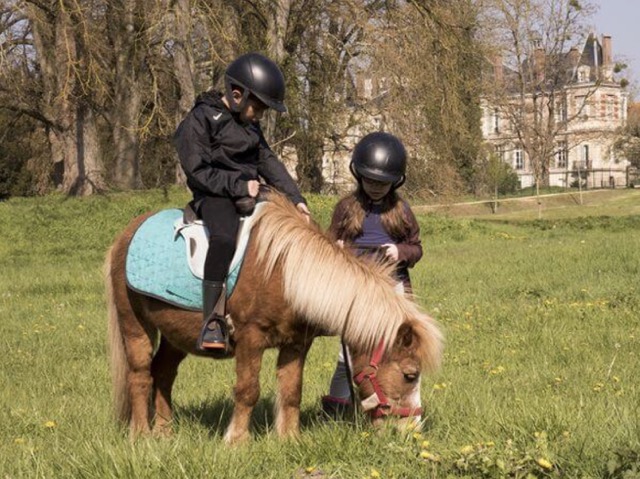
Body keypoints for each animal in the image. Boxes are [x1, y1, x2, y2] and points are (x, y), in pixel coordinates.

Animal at [106, 190, 444, 442]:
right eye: (410, 375)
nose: (411, 431)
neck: (287, 273)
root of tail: (125, 235)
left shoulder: (296, 344)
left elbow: (291, 390)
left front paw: (289, 438)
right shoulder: (250, 339)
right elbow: (247, 391)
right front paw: (236, 441)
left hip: (176, 334)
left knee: (163, 373)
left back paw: (164, 431)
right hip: (135, 325)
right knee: (141, 374)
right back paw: (142, 435)